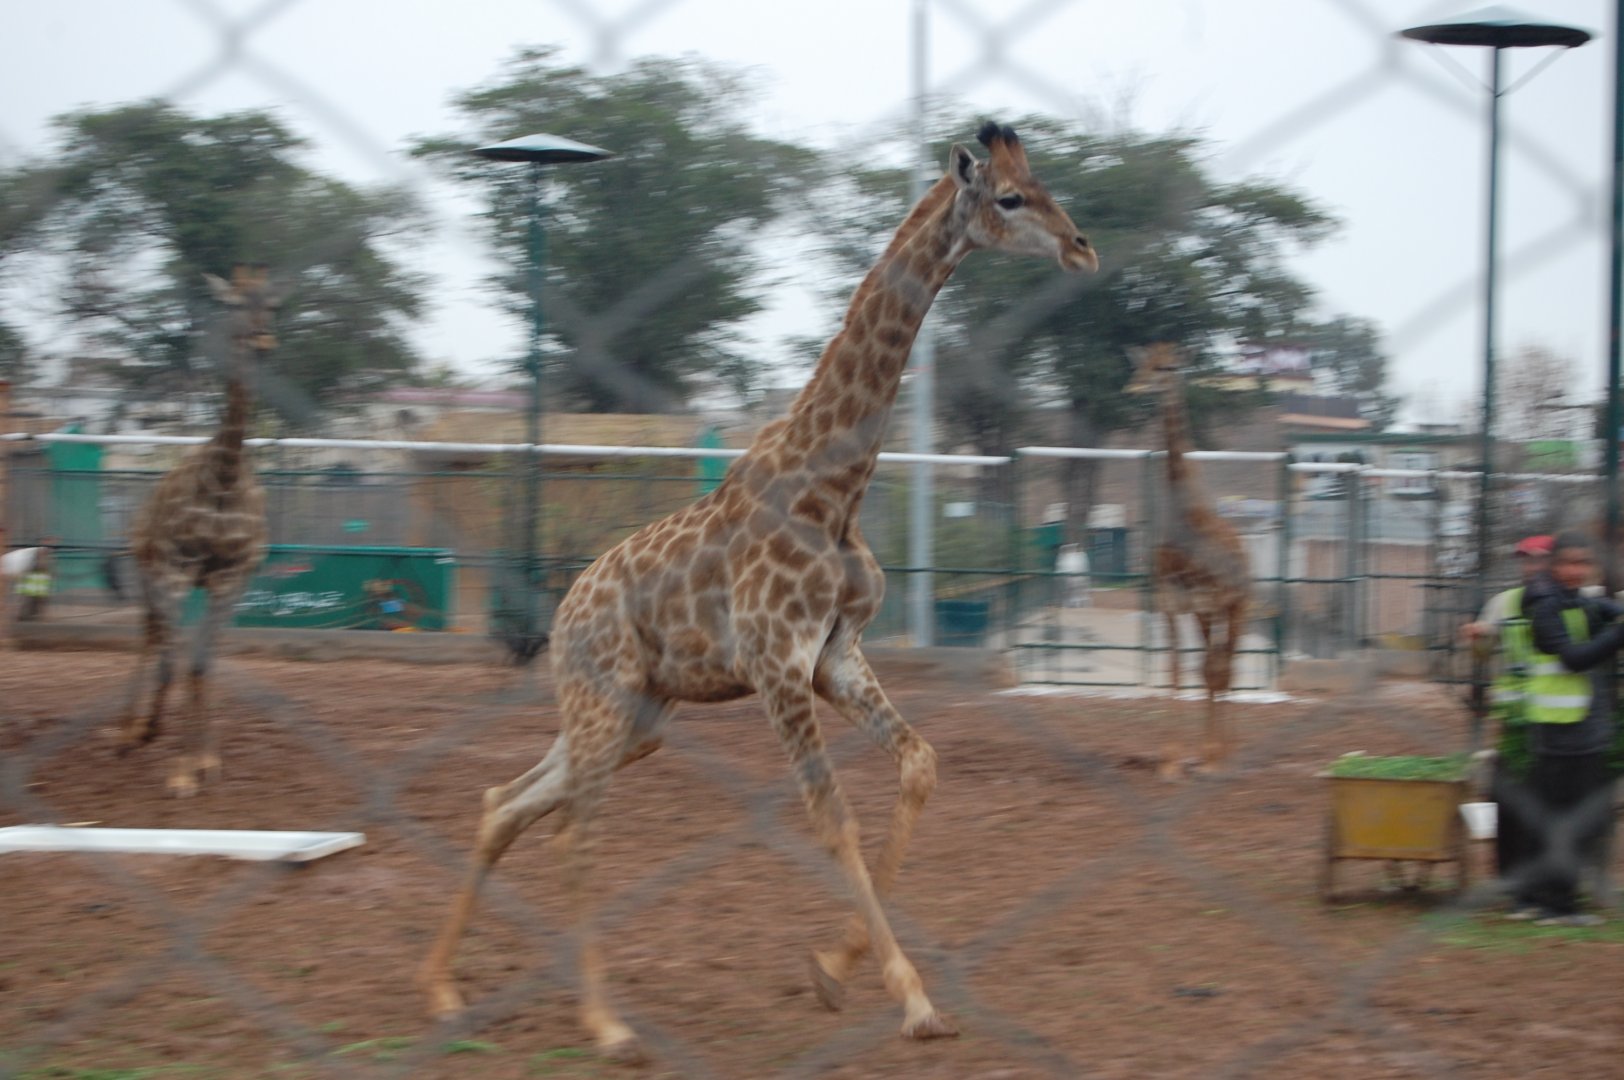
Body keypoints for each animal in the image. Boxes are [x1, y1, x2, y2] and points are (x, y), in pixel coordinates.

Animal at [116, 264, 278, 797]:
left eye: (274, 305)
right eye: (232, 303)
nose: (262, 339)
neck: (223, 476)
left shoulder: (228, 578)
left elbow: (201, 662)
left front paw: (203, 761)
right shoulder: (175, 568)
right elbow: (176, 656)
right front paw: (177, 765)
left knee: (169, 644)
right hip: (147, 567)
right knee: (149, 636)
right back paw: (130, 729)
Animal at [420, 123, 1098, 1061]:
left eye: (1046, 186)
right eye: (1009, 197)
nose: (1083, 248)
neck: (834, 486)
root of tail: (563, 610)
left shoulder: (834, 658)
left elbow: (919, 763)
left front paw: (834, 969)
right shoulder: (778, 668)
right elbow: (833, 817)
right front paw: (912, 1000)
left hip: (638, 719)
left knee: (505, 804)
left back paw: (445, 991)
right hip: (605, 704)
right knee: (571, 830)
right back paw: (605, 1024)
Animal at [1126, 343, 1251, 780]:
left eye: (1167, 367)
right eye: (1143, 364)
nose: (1133, 387)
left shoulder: (1207, 600)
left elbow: (1211, 670)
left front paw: (1208, 758)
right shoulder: (1171, 600)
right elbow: (1177, 670)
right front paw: (1171, 760)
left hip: (1237, 607)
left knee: (1227, 666)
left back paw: (1225, 753)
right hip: (1206, 613)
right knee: (1213, 667)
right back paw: (1210, 752)